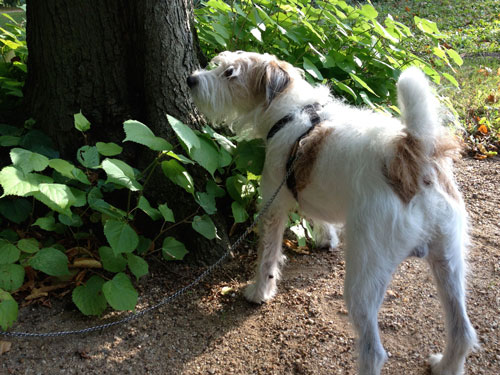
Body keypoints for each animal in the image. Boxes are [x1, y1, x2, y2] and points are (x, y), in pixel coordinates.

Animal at [187, 50, 476, 375]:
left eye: (230, 73)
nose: (191, 80)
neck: (291, 113)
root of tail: (411, 156)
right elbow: (319, 216)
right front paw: (326, 240)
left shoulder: (273, 206)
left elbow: (267, 258)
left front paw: (260, 292)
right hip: (449, 262)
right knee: (463, 331)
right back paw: (446, 366)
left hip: (364, 279)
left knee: (374, 351)